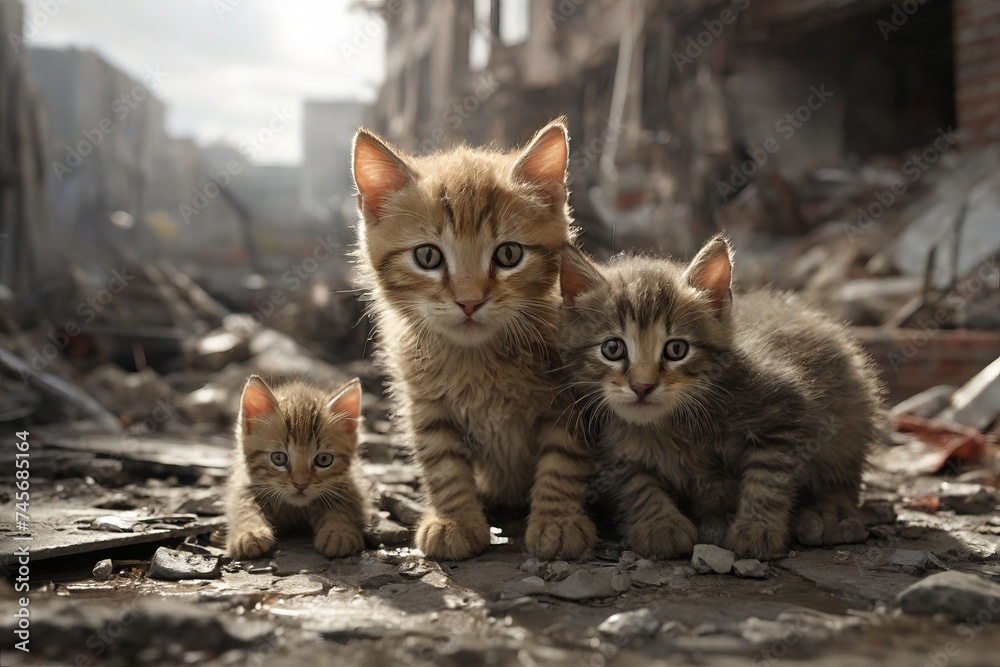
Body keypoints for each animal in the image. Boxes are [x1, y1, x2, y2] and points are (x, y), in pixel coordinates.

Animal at [225, 376, 366, 560]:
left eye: (324, 459)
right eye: (278, 458)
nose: (301, 484)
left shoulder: (349, 482)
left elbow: (344, 505)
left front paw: (340, 532)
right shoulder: (243, 481)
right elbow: (243, 504)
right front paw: (249, 533)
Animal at [356, 121, 596, 564]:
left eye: (509, 254)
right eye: (428, 257)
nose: (469, 301)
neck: (478, 359)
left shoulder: (570, 402)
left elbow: (562, 459)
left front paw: (557, 520)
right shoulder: (425, 405)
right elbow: (443, 463)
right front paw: (455, 521)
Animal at [560, 237, 880, 560]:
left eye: (676, 349)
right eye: (612, 348)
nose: (642, 386)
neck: (670, 424)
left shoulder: (786, 410)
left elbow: (768, 478)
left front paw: (757, 528)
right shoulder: (610, 449)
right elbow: (635, 484)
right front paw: (659, 524)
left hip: (850, 412)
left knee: (843, 475)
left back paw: (830, 514)